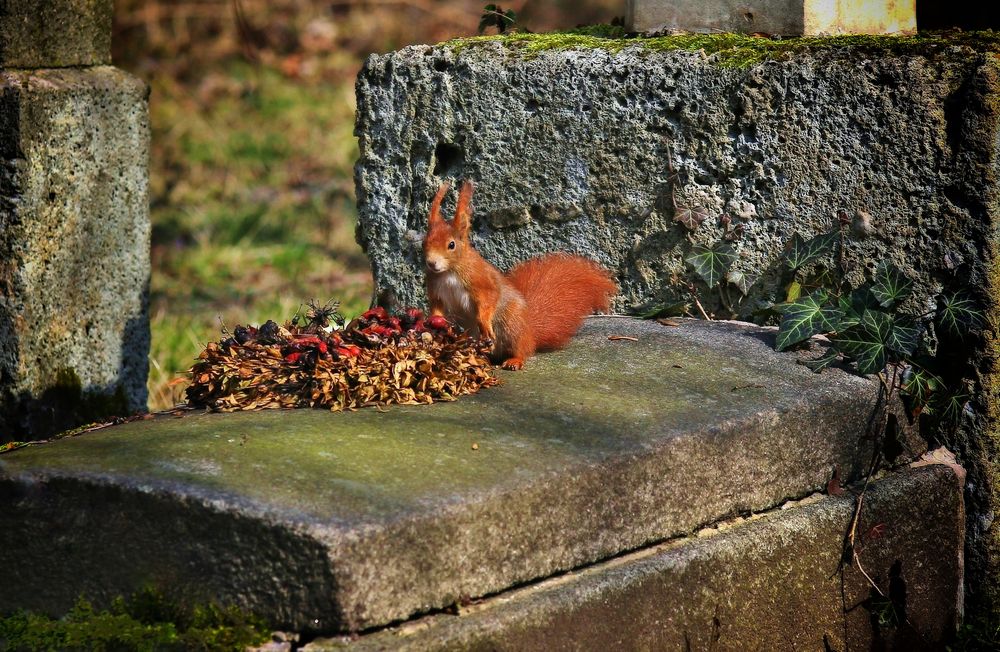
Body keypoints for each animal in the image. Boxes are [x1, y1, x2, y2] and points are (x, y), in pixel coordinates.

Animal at [422, 181, 616, 370]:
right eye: (424, 242)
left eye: (451, 245)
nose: (431, 263)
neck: (449, 271)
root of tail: (531, 334)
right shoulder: (435, 288)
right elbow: (437, 306)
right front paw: (434, 321)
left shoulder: (481, 280)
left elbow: (488, 300)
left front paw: (484, 322)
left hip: (511, 325)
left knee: (522, 350)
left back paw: (514, 360)